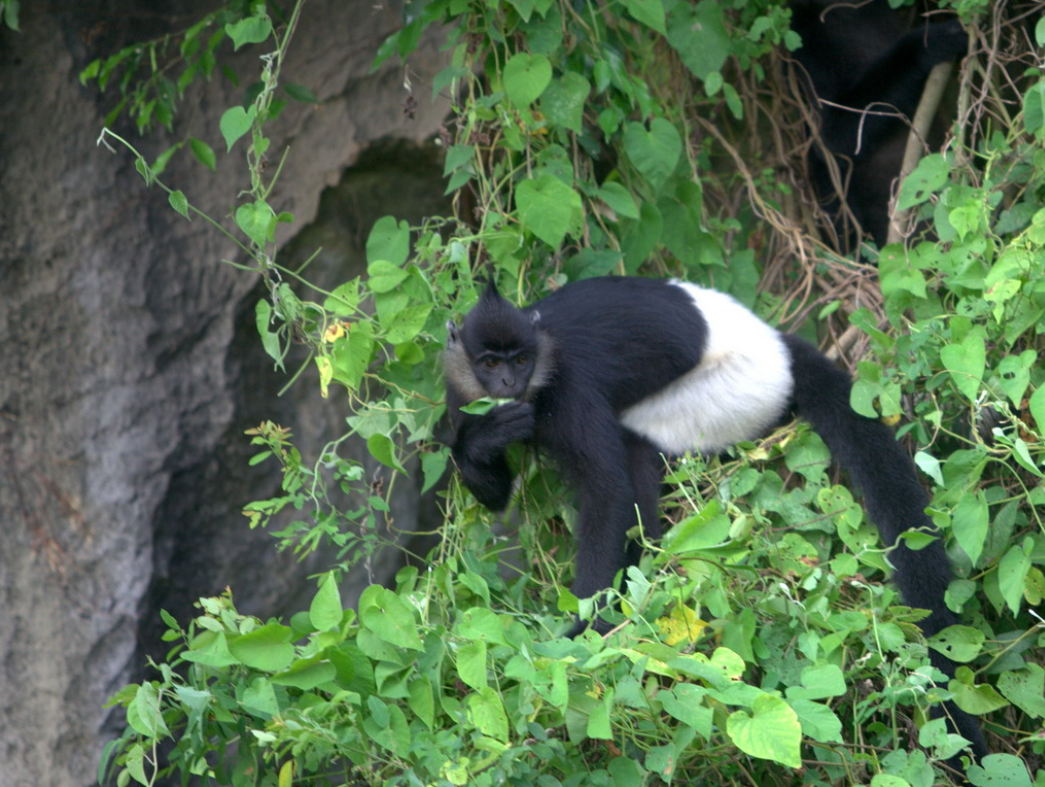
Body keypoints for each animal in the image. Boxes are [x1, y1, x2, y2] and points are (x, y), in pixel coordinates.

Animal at [447, 273, 986, 756]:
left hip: (731, 395)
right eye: (490, 362)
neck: (538, 375)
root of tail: (777, 344)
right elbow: (494, 490)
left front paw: (585, 638)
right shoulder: (461, 391)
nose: (508, 381)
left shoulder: (570, 390)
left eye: (521, 360)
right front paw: (487, 439)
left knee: (637, 452)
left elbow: (608, 492)